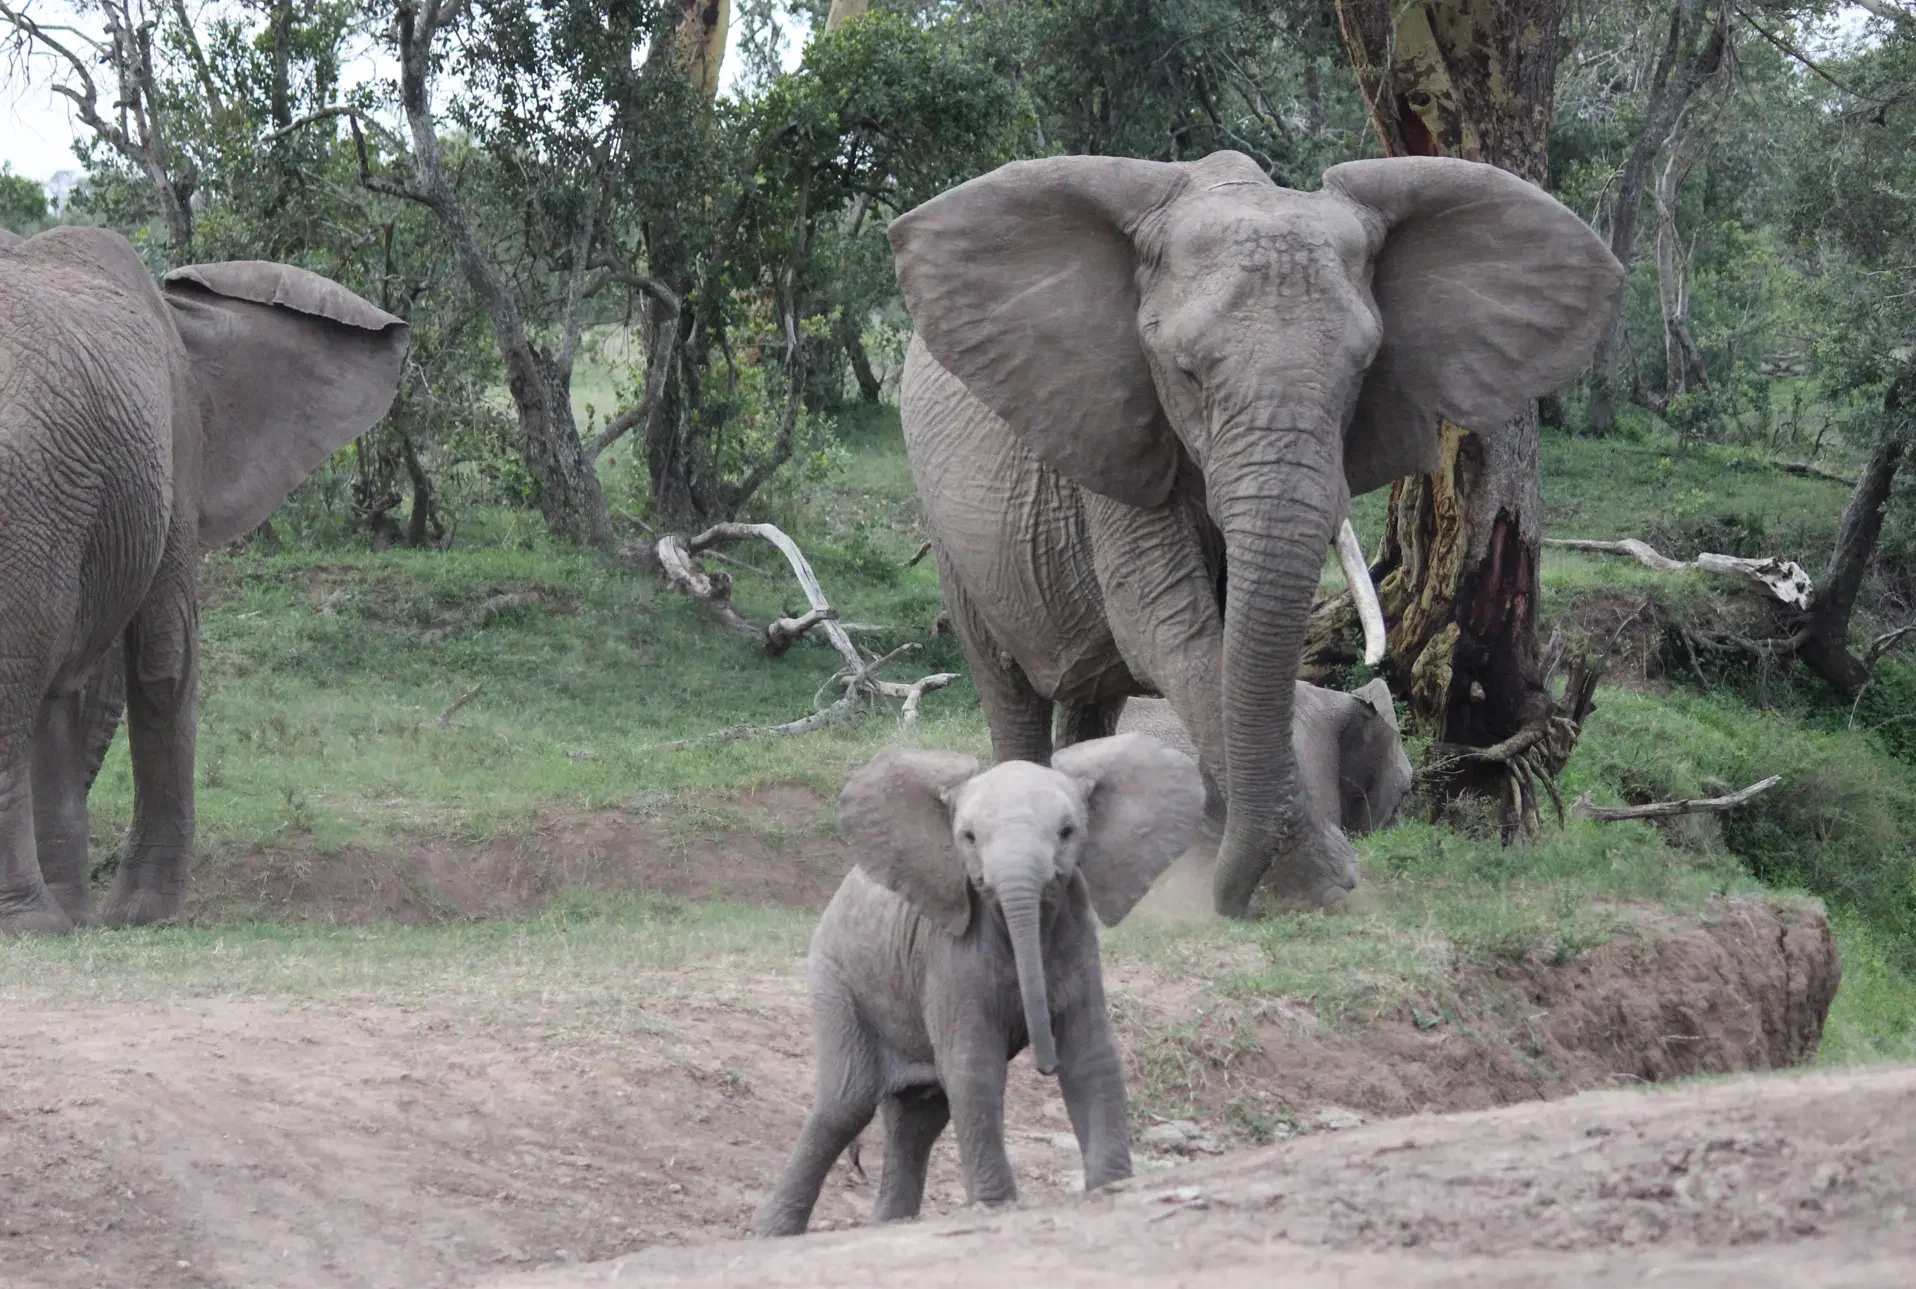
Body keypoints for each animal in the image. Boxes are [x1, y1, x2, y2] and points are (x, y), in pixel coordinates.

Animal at [0, 225, 408, 935]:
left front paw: (92, 918)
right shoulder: (176, 440)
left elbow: (63, 688)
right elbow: (165, 659)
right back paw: (30, 923)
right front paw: (140, 915)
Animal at [753, 732, 1205, 1237]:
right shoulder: (948, 955)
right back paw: (768, 1233)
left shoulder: (1078, 935)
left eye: (1068, 832)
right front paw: (996, 1207)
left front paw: (1113, 1188)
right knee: (845, 1104)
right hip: (837, 976)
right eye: (967, 838)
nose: (1044, 1065)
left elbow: (1091, 1058)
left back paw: (889, 1223)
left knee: (919, 1116)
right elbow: (975, 1067)